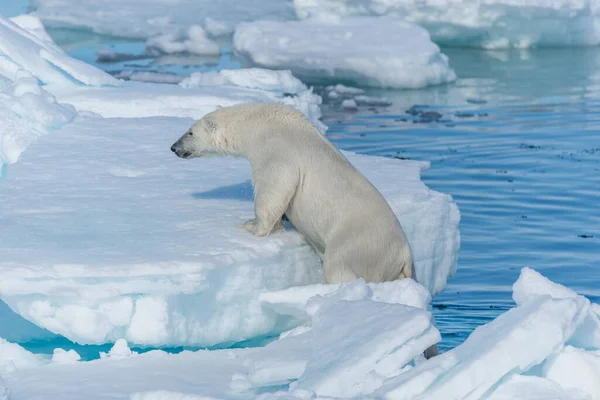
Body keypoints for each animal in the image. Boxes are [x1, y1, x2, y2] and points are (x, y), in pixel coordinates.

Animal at [173, 103, 414, 284]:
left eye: (190, 132)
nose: (173, 147)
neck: (261, 123)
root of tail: (404, 252)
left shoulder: (278, 151)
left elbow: (274, 185)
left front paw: (250, 226)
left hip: (360, 243)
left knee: (339, 266)